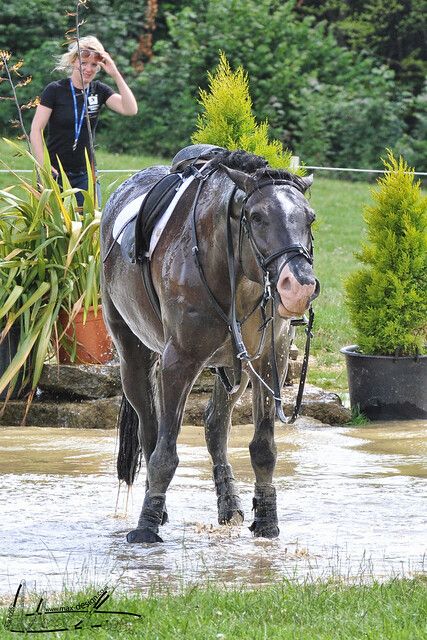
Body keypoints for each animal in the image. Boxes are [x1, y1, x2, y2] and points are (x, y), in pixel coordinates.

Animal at [102, 148, 320, 544]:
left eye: (309, 218)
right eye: (256, 217)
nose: (298, 287)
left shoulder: (269, 361)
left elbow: (263, 448)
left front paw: (267, 521)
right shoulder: (179, 362)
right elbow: (164, 454)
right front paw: (146, 527)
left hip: (233, 367)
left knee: (214, 426)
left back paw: (228, 504)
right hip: (133, 356)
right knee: (151, 430)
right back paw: (157, 510)